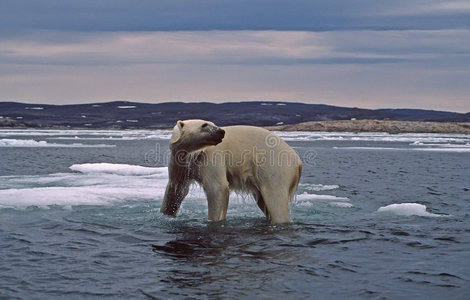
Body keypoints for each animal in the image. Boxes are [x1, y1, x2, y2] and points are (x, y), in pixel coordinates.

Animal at [161, 119, 302, 223]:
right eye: (204, 125)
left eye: (213, 123)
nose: (221, 131)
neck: (194, 153)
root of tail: (298, 160)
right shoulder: (180, 162)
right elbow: (177, 188)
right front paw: (166, 213)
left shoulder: (211, 157)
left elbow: (217, 188)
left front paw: (213, 220)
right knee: (263, 200)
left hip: (274, 166)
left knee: (275, 199)